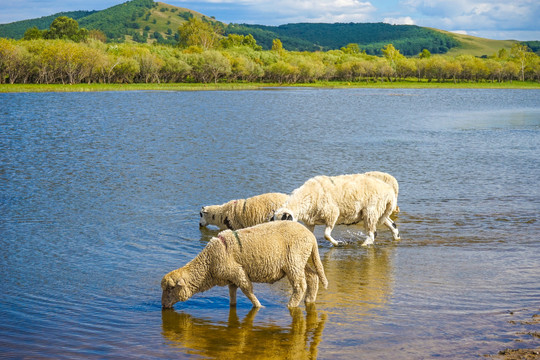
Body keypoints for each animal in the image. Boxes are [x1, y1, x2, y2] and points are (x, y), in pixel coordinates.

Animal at [161, 221, 330, 308]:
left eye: (171, 288)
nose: (163, 305)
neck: (208, 264)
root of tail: (311, 236)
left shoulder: (238, 272)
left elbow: (248, 291)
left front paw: (259, 306)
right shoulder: (231, 278)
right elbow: (232, 294)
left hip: (294, 262)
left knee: (300, 286)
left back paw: (291, 305)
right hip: (301, 260)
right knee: (313, 277)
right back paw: (309, 300)